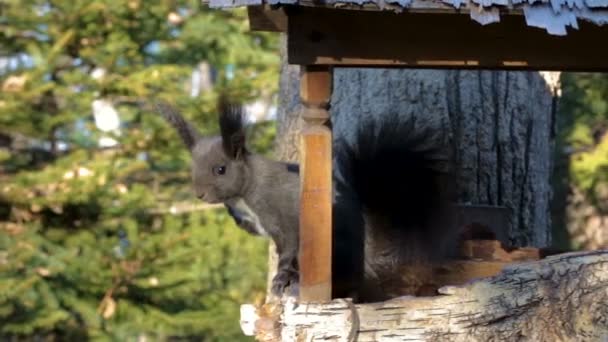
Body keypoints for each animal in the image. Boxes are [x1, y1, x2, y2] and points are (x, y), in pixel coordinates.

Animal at [156, 96, 456, 302]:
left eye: (221, 169)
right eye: (193, 167)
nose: (200, 194)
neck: (247, 191)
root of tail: (368, 264)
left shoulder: (281, 215)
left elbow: (289, 247)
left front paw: (281, 277)